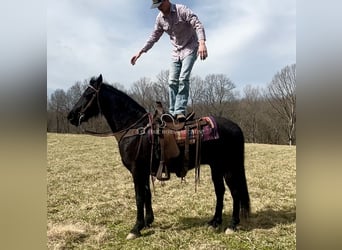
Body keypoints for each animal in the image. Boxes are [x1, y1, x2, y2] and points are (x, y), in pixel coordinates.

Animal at [67, 74, 250, 240]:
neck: (135, 129)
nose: (71, 116)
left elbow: (139, 196)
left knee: (235, 192)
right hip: (216, 166)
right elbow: (147, 194)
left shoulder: (137, 171)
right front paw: (148, 221)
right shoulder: (144, 171)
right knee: (220, 191)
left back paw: (232, 225)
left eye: (88, 95)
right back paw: (214, 221)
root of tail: (235, 127)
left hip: (229, 167)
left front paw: (136, 228)